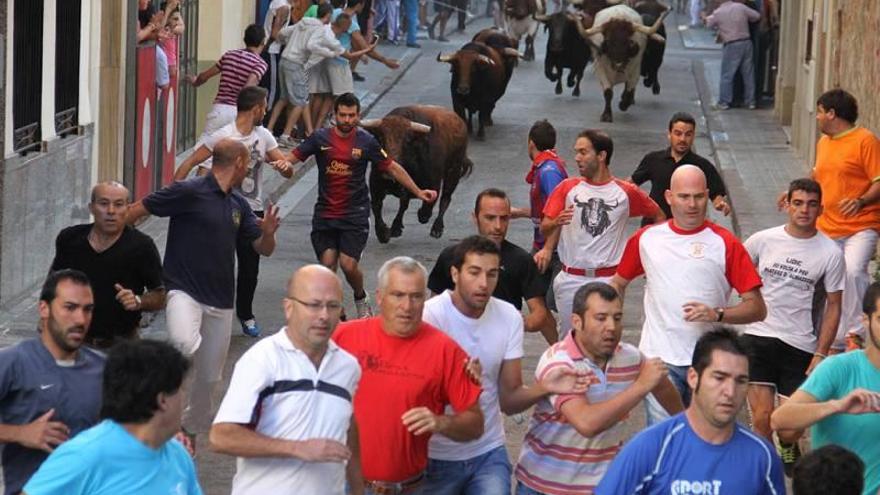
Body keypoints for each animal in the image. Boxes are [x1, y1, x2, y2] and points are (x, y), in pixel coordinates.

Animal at [360, 105, 474, 243]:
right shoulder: (375, 186)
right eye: (381, 138)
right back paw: (396, 227)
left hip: (454, 171)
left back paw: (437, 228)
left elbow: (426, 209)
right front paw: (383, 233)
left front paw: (423, 216)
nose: (388, 172)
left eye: (406, 140)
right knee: (404, 204)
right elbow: (377, 207)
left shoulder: (434, 184)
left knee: (445, 199)